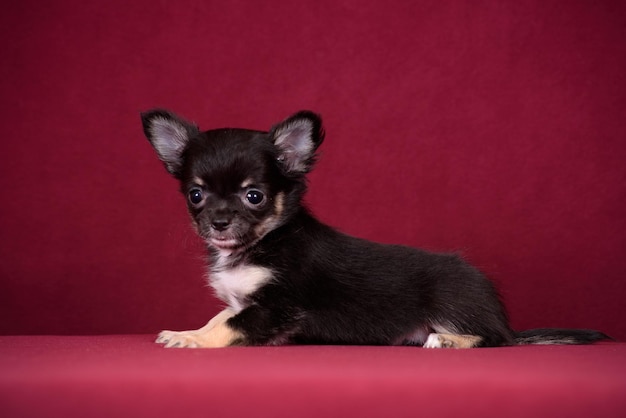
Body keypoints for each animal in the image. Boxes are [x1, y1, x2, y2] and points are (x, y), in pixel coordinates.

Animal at [139, 109, 608, 348]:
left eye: (254, 196)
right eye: (195, 195)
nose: (218, 222)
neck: (263, 242)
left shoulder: (278, 306)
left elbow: (228, 325)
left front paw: (191, 341)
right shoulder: (247, 301)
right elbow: (219, 315)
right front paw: (187, 331)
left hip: (453, 300)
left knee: (493, 340)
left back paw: (447, 341)